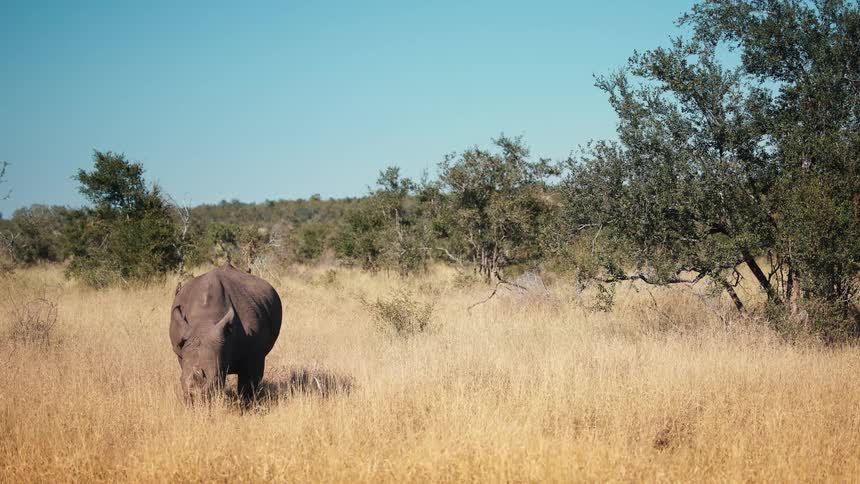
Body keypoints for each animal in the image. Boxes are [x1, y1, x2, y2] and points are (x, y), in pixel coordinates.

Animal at [169, 264, 282, 401]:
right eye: (180, 380)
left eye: (217, 379)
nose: (196, 398)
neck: (204, 322)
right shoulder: (181, 348)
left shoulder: (254, 354)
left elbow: (248, 383)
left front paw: (245, 405)